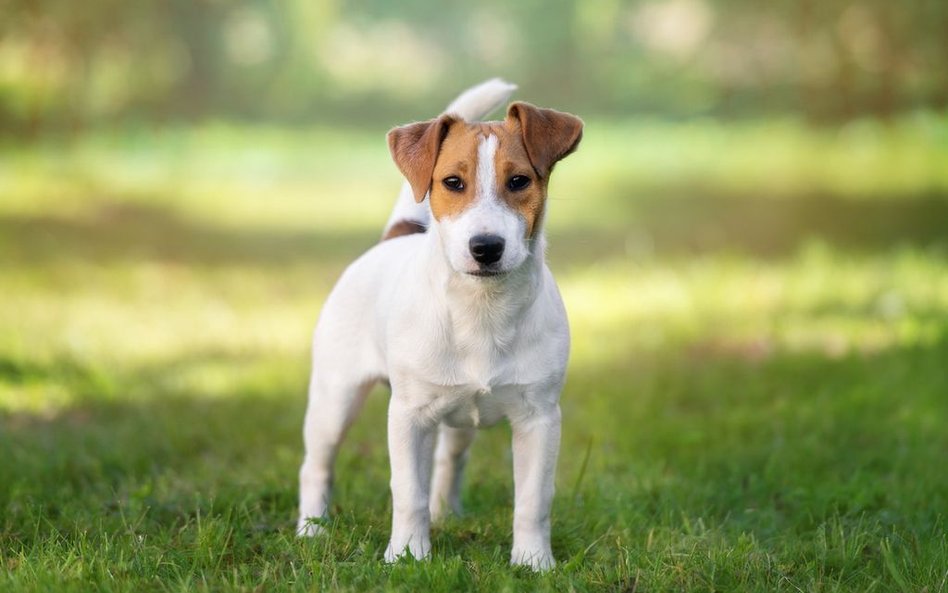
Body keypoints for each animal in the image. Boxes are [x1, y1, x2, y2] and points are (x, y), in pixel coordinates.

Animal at [296, 78, 580, 568]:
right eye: (452, 182)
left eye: (519, 181)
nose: (486, 247)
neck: (481, 311)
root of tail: (393, 239)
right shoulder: (408, 416)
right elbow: (408, 490)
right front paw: (408, 555)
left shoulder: (539, 418)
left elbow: (533, 500)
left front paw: (532, 562)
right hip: (336, 398)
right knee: (317, 465)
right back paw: (311, 530)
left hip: (457, 422)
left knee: (449, 462)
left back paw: (445, 513)